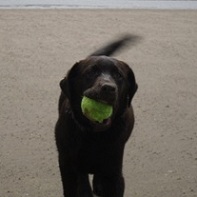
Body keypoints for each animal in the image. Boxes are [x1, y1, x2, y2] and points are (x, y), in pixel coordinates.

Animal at [54, 35, 139, 197]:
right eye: (90, 73)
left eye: (119, 75)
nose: (108, 88)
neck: (93, 137)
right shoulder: (67, 167)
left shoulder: (114, 174)